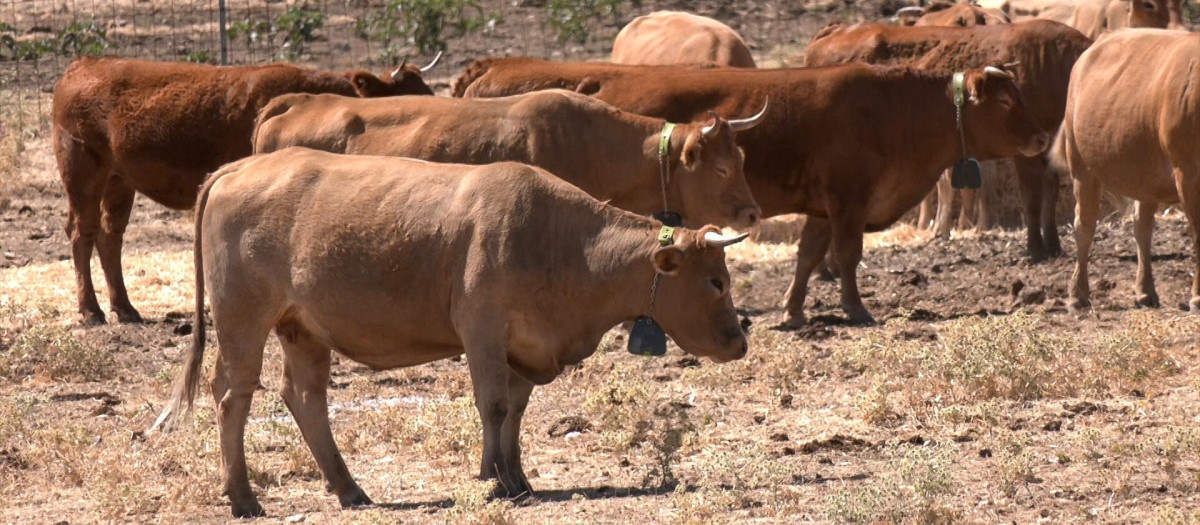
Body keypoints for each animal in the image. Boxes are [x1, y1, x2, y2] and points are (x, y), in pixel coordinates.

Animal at [52, 56, 437, 326]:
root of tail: (83, 65)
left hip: (119, 182)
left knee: (110, 236)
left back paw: (125, 308)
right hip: (83, 176)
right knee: (82, 233)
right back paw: (91, 311)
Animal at [151, 147, 751, 517]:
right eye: (715, 281)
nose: (740, 340)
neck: (562, 242)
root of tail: (240, 166)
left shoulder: (524, 346)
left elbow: (515, 412)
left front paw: (518, 478)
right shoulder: (482, 330)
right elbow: (493, 406)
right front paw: (494, 480)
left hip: (302, 329)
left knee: (304, 398)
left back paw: (349, 488)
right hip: (243, 320)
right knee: (233, 396)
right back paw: (243, 497)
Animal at [453, 59, 1048, 326]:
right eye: (1004, 102)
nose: (1043, 136)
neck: (891, 111)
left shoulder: (823, 207)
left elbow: (810, 256)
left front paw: (793, 310)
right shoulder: (848, 200)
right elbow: (848, 256)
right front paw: (856, 309)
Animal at [804, 20, 1092, 262]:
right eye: (1005, 100)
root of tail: (837, 29)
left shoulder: (1047, 143)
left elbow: (1051, 190)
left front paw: (1053, 245)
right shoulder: (1026, 149)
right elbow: (1032, 196)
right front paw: (1036, 248)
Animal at [1052, 29, 1200, 313]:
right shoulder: (1188, 173)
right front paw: (1197, 297)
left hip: (1145, 173)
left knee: (1142, 226)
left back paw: (1144, 291)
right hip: (1081, 166)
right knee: (1084, 225)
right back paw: (1078, 294)